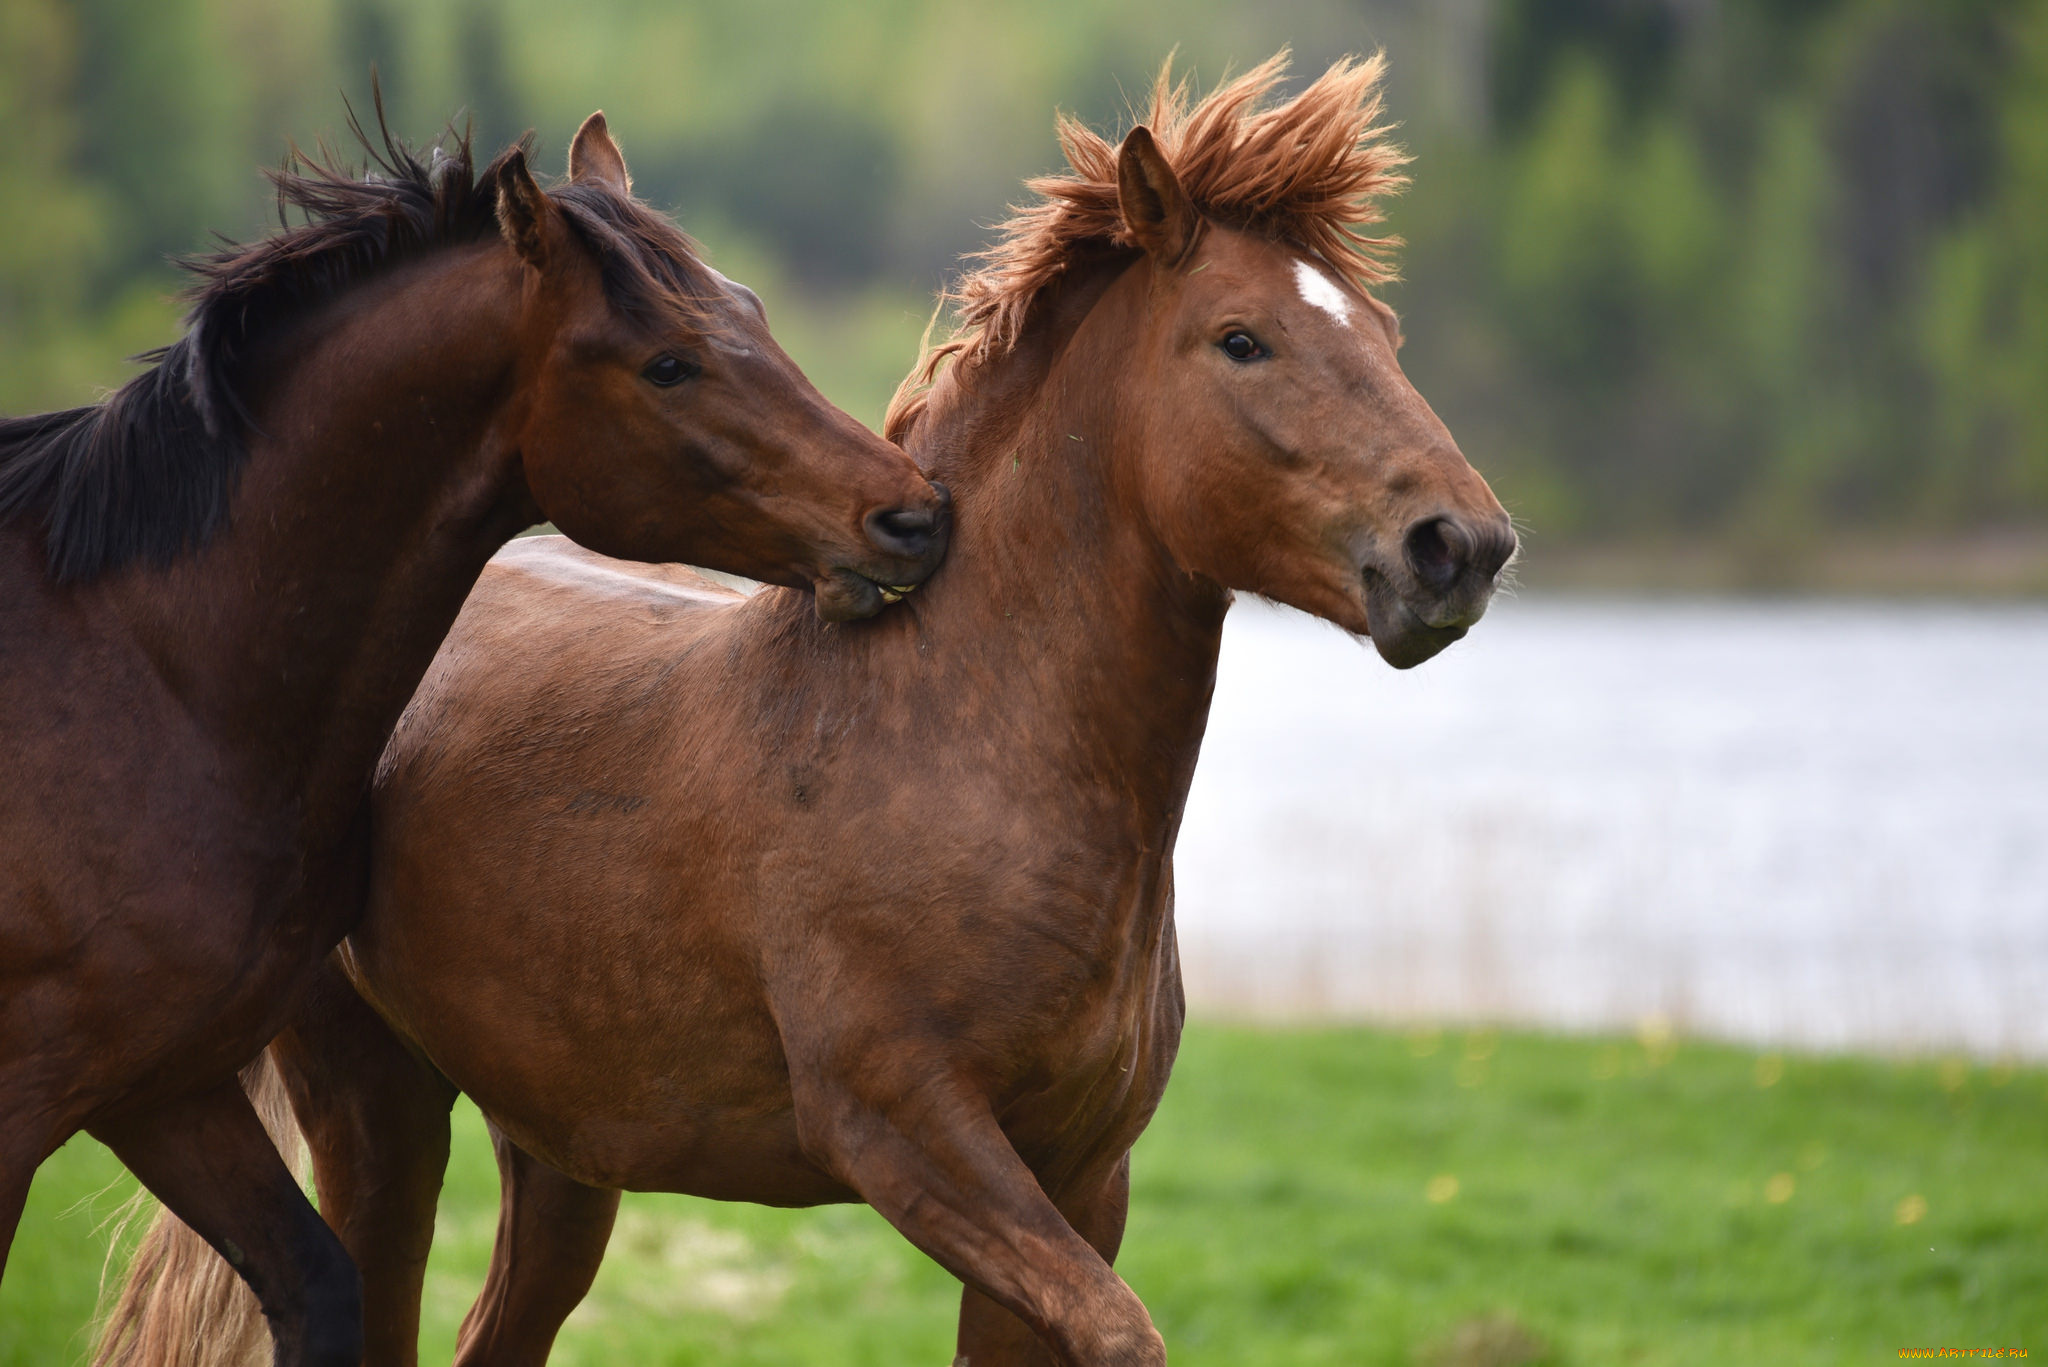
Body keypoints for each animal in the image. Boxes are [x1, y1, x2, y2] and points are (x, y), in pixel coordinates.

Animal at [0, 104, 948, 1367]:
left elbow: (321, 1286)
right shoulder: (30, 1096)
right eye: (668, 361)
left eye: (749, 307)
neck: (144, 669)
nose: (913, 514)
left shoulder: (163, 1082)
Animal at [113, 54, 1513, 1366]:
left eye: (1383, 330)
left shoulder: (1078, 1173)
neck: (955, 743)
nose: (1459, 546)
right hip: (377, 1106)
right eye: (1240, 339)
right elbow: (1122, 1328)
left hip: (561, 1149)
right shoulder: (911, 1137)